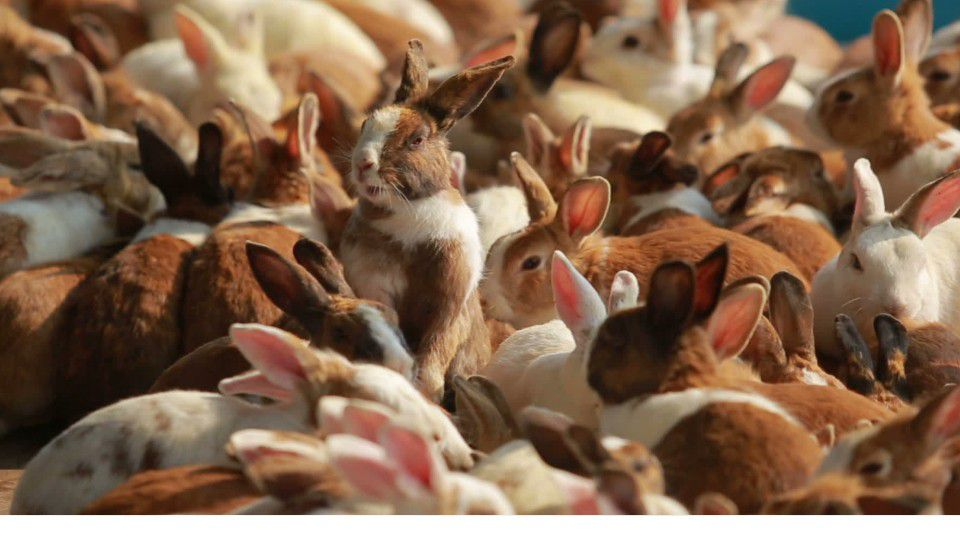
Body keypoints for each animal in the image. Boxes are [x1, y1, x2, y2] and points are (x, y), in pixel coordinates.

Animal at [338, 41, 513, 401]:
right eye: (365, 125)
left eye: (417, 139)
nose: (362, 163)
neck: (407, 210)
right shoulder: (374, 286)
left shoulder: (449, 302)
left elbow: (437, 346)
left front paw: (426, 388)